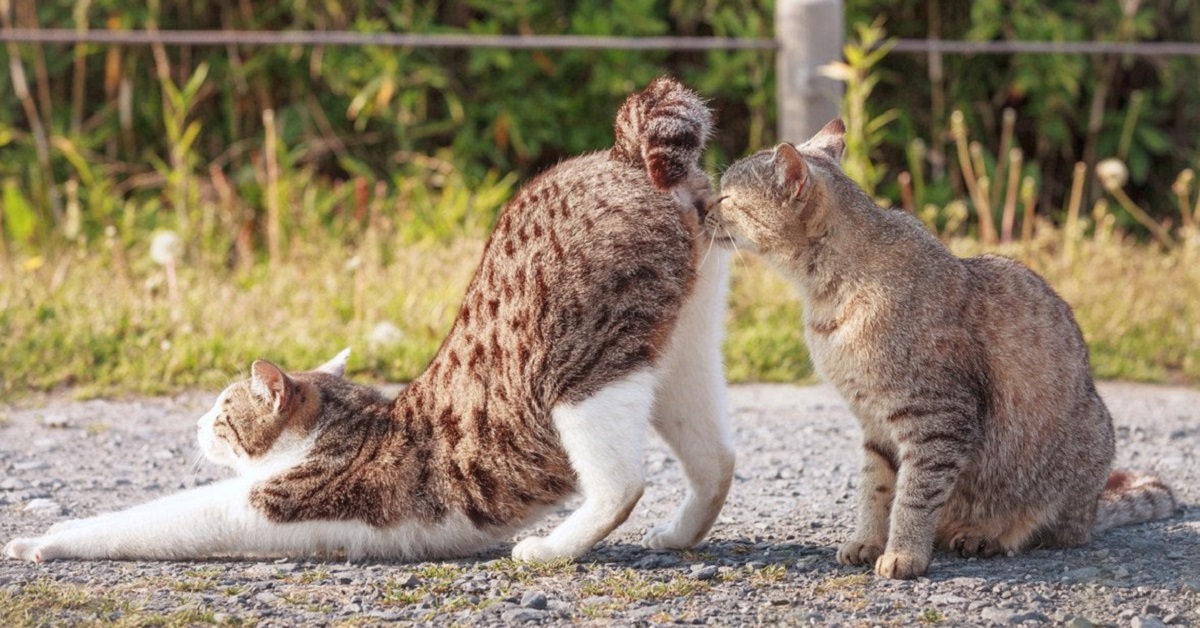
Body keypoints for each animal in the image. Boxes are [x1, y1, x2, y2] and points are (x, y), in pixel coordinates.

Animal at [705, 117, 1176, 581]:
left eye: (726, 196)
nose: (703, 206)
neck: (826, 297)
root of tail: (1093, 510)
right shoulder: (875, 425)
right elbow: (875, 490)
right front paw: (867, 540)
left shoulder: (938, 417)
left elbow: (914, 496)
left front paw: (904, 554)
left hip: (1079, 452)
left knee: (1048, 528)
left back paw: (985, 534)